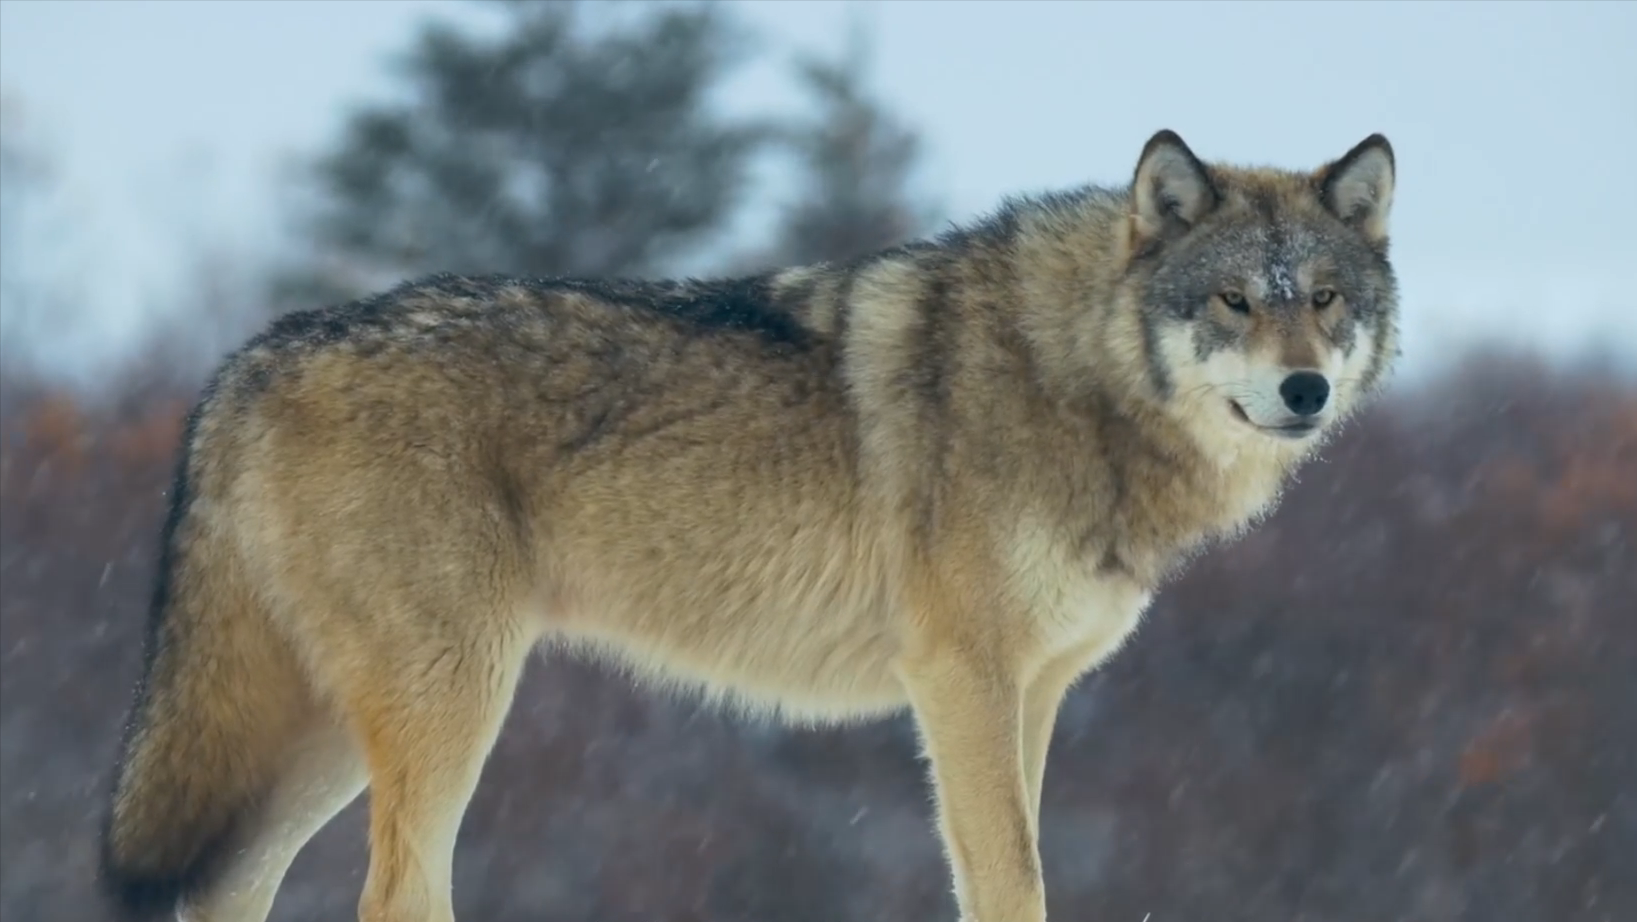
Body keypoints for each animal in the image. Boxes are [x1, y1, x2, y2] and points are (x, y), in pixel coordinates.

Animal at [102, 131, 1401, 922]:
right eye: (1232, 301)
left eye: (1322, 300)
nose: (1303, 392)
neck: (1070, 377)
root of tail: (251, 358)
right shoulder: (959, 677)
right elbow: (1010, 872)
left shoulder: (1036, 690)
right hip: (448, 700)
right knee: (390, 894)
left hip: (328, 736)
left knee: (228, 891)